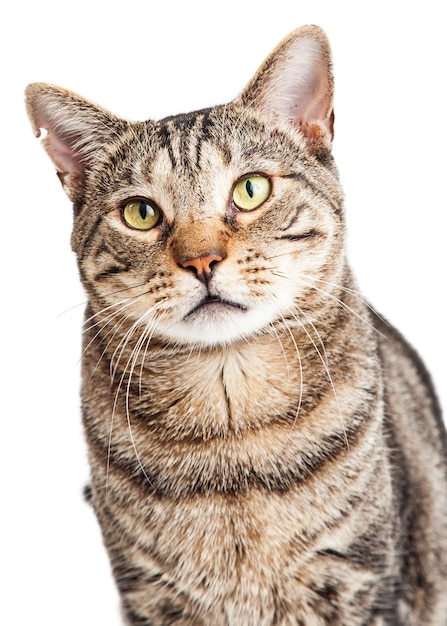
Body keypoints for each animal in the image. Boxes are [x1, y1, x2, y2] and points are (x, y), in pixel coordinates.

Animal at [25, 25, 447, 624]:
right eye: (140, 213)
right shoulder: (148, 593)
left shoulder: (360, 580)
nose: (201, 260)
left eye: (251, 189)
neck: (232, 445)